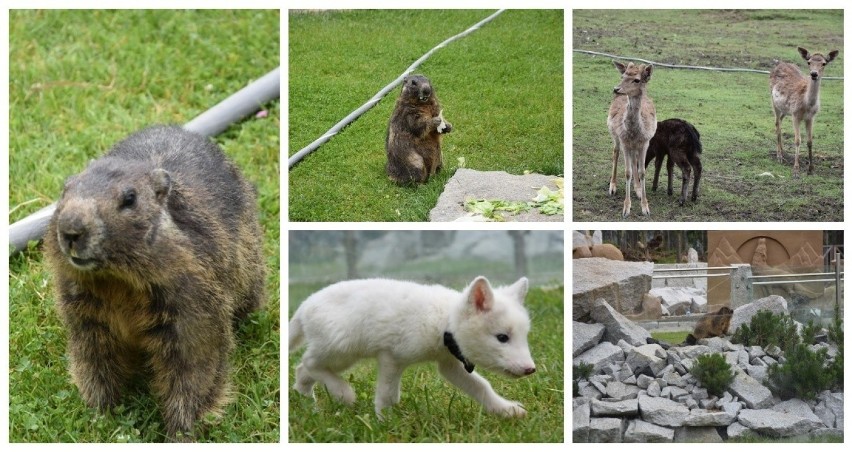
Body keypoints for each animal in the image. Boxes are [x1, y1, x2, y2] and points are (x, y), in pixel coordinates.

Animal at [604, 61, 660, 217]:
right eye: (623, 76)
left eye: (637, 80)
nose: (616, 89)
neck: (634, 132)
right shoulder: (624, 141)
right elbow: (627, 172)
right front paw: (626, 209)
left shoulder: (645, 142)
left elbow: (642, 171)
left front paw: (645, 207)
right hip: (614, 135)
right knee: (615, 152)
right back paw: (613, 186)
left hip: (635, 146)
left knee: (634, 160)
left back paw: (638, 189)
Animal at [772, 46, 840, 178]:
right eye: (809, 62)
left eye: (824, 63)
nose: (814, 74)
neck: (807, 105)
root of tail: (779, 63)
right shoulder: (795, 114)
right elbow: (797, 140)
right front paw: (796, 170)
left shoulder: (811, 117)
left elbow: (810, 141)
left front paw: (811, 169)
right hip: (774, 103)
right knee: (777, 123)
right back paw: (779, 156)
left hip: (785, 109)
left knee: (780, 122)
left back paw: (783, 151)